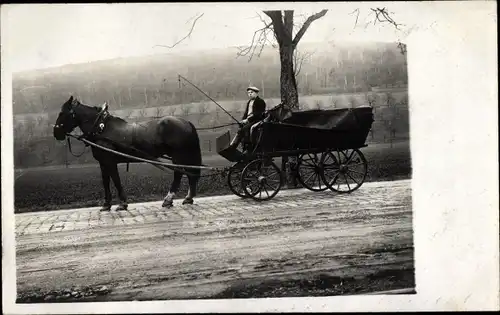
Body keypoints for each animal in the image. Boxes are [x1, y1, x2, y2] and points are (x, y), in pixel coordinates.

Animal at [53, 95, 203, 211]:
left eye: (62, 113)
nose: (56, 133)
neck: (101, 129)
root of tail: (186, 122)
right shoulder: (103, 163)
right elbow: (106, 181)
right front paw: (106, 204)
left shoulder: (110, 162)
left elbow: (116, 180)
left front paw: (122, 203)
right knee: (189, 174)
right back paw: (188, 198)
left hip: (179, 156)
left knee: (179, 174)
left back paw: (168, 199)